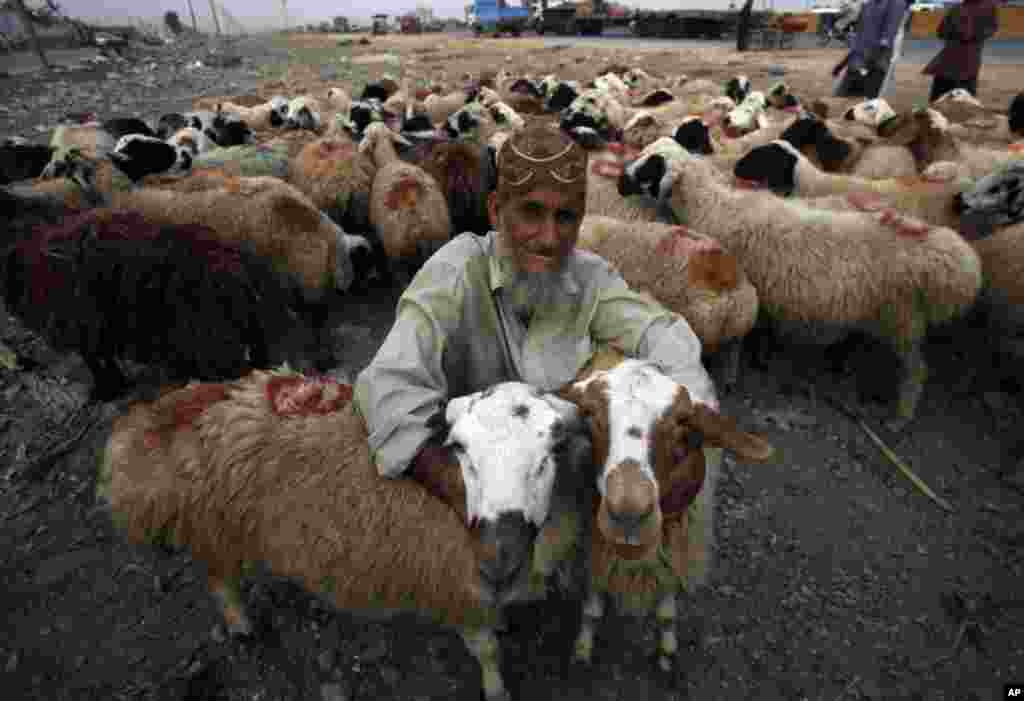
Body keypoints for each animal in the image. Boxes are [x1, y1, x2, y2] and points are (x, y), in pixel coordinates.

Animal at [0, 202, 311, 399]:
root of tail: (242, 268)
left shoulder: (84, 328)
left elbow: (97, 362)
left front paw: (106, 391)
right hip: (248, 336)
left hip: (215, 343)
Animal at [557, 349, 770, 671]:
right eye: (590, 415)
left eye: (681, 424)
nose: (628, 515)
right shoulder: (595, 547)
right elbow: (592, 607)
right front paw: (582, 649)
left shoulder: (676, 542)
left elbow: (667, 611)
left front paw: (667, 651)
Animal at [618, 137, 987, 425]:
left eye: (651, 166)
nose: (621, 182)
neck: (714, 206)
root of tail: (945, 257)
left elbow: (752, 337)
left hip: (901, 319)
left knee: (915, 371)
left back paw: (900, 416)